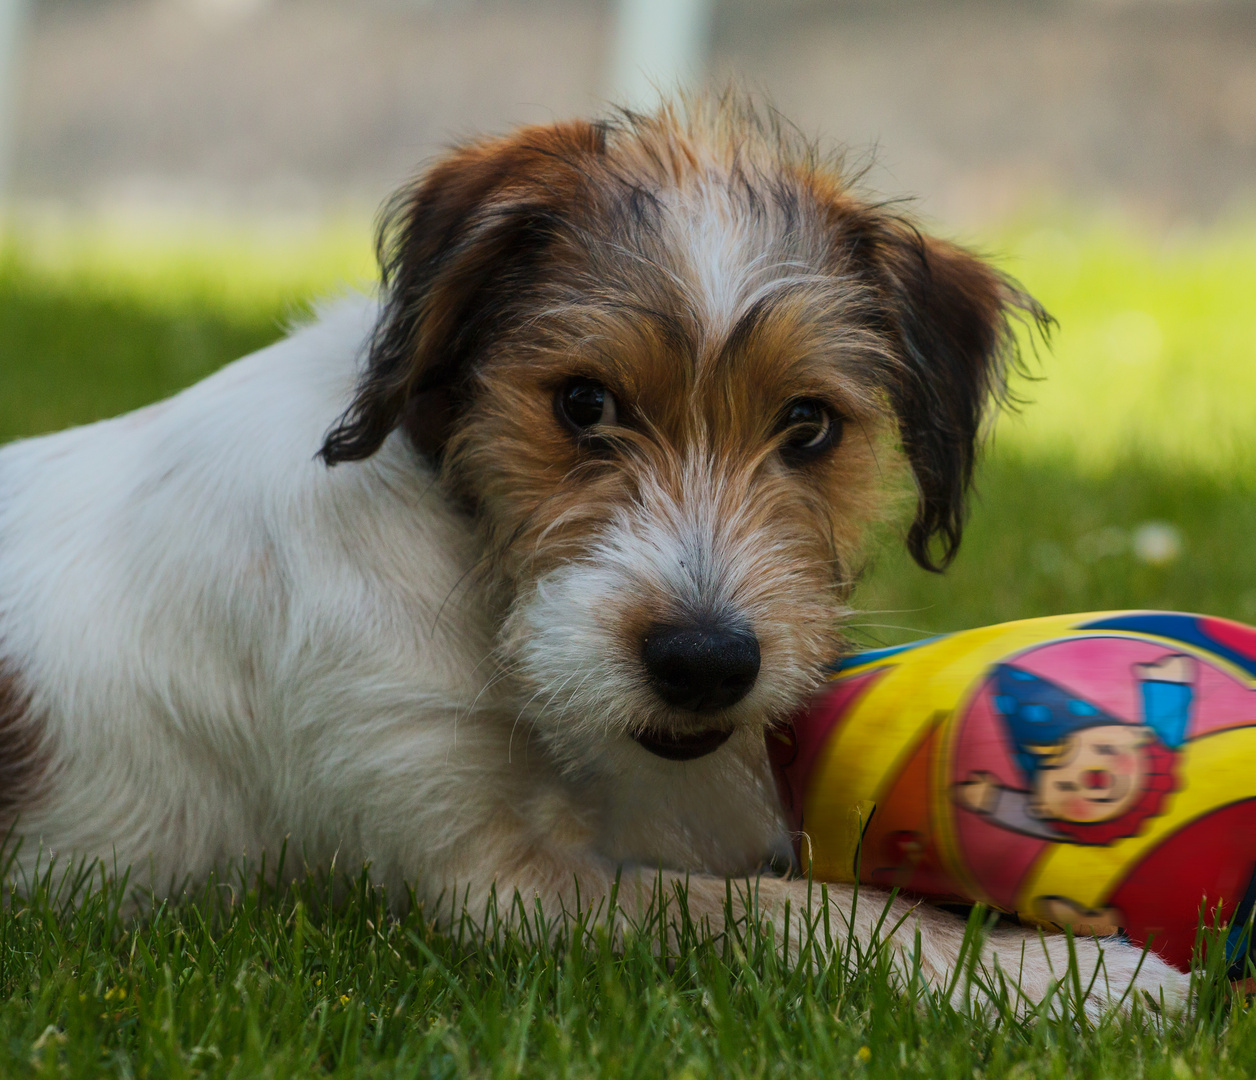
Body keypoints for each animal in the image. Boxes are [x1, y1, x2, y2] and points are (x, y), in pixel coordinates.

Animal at [0, 97, 1185, 1014]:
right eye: (582, 404)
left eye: (807, 426)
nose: (705, 663)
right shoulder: (490, 886)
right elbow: (776, 911)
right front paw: (1059, 977)